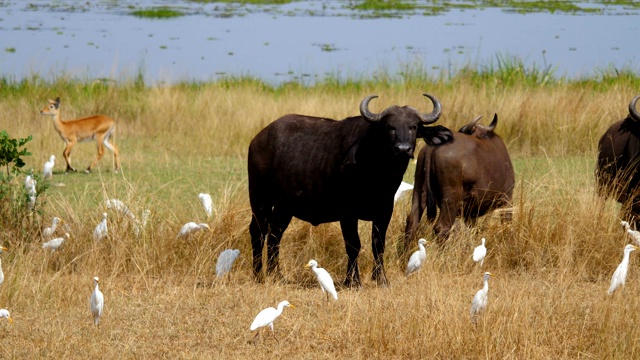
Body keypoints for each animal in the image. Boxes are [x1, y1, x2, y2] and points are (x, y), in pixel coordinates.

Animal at [248, 93, 452, 286]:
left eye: (414, 126)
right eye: (389, 127)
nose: (403, 149)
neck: (377, 174)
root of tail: (258, 139)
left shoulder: (384, 211)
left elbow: (378, 244)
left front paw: (380, 279)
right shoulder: (347, 213)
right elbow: (353, 244)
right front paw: (353, 281)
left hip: (284, 207)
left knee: (275, 235)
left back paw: (277, 275)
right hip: (260, 199)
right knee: (258, 232)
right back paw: (258, 275)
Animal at [404, 113, 516, 248]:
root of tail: (432, 146)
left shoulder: (471, 213)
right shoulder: (507, 199)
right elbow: (507, 225)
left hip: (419, 190)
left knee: (412, 222)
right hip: (451, 199)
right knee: (442, 227)